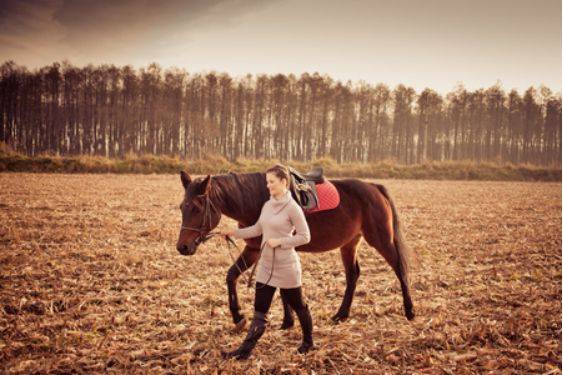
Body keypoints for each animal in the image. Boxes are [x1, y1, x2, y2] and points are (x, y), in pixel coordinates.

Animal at [175, 170, 414, 328]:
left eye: (196, 208)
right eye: (181, 207)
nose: (182, 247)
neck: (259, 202)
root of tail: (374, 187)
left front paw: (287, 321)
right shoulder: (254, 249)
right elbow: (231, 275)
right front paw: (239, 316)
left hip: (381, 239)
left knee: (400, 268)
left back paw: (409, 310)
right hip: (349, 243)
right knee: (353, 275)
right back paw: (341, 314)